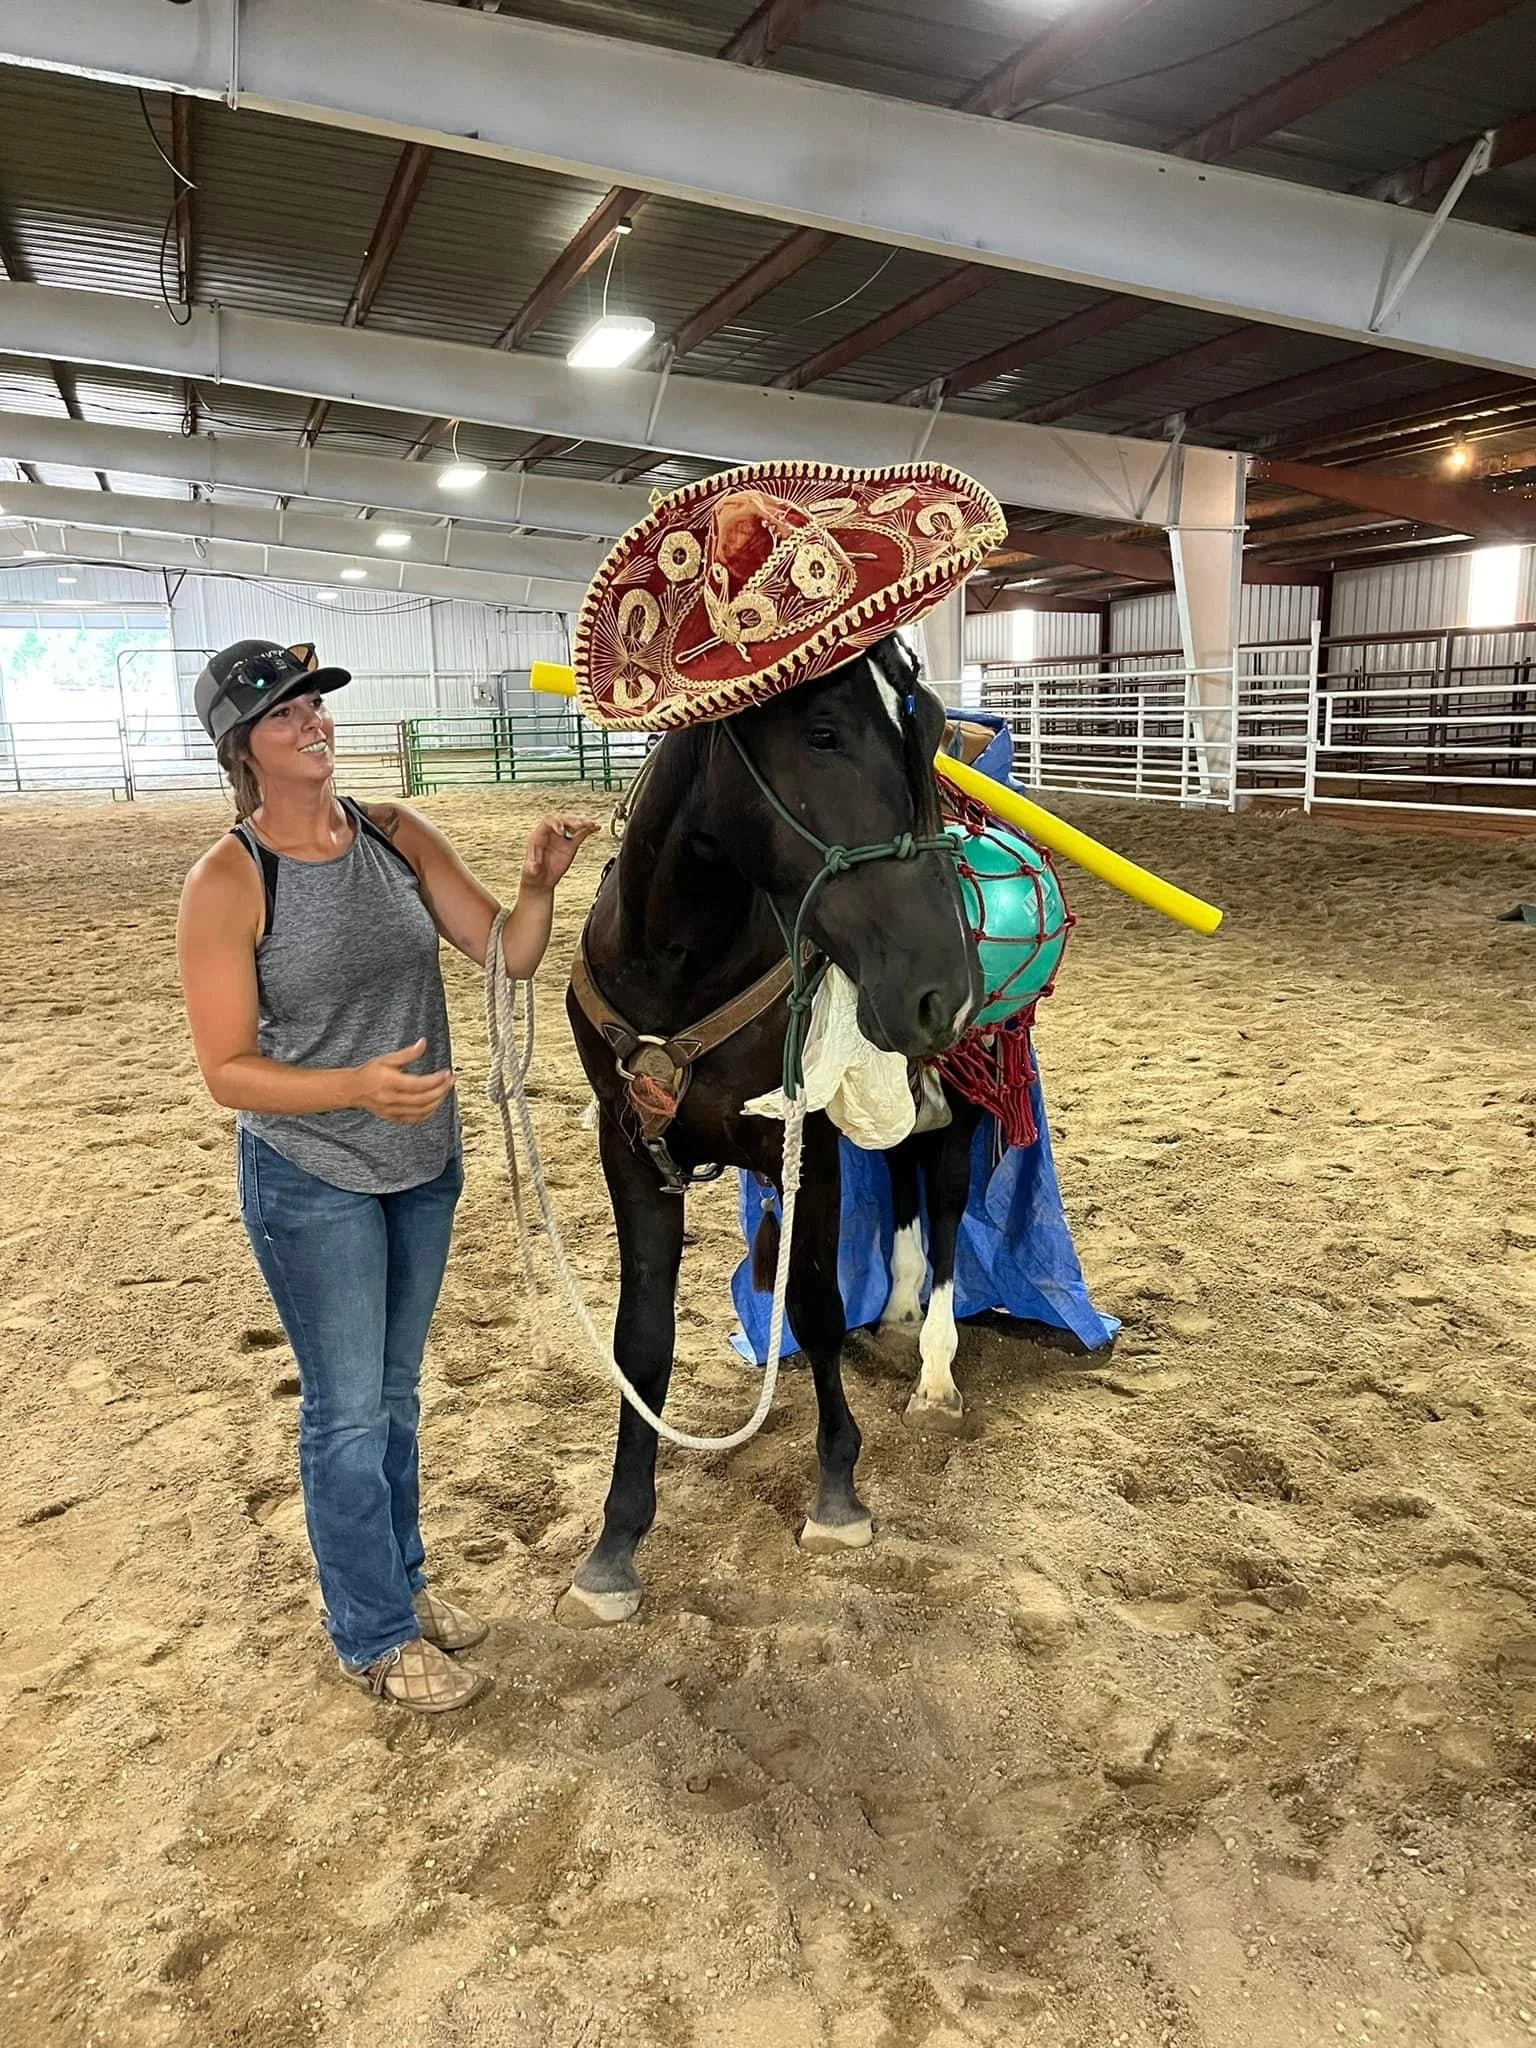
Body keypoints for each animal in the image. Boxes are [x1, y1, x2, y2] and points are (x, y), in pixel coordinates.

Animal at [561, 634, 981, 1625]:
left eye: (928, 725)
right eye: (821, 732)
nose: (944, 991)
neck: (680, 967)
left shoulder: (803, 1143)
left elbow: (816, 1305)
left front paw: (838, 1495)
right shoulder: (628, 1151)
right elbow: (642, 1341)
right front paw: (614, 1546)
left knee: (945, 1190)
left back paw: (936, 1370)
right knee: (901, 1173)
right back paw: (897, 1313)